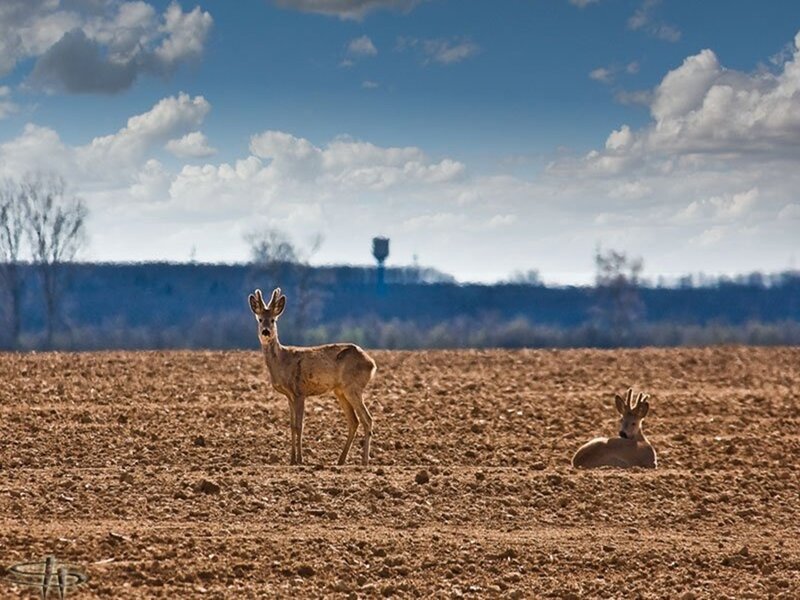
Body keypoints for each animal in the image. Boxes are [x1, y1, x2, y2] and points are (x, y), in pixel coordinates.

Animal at [248, 288, 377, 466]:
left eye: (273, 320)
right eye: (260, 319)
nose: (265, 331)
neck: (282, 361)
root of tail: (372, 363)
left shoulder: (300, 392)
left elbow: (299, 426)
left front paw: (300, 460)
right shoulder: (289, 396)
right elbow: (291, 425)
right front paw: (291, 460)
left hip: (353, 387)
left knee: (367, 419)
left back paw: (364, 461)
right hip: (340, 391)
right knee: (354, 421)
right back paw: (340, 460)